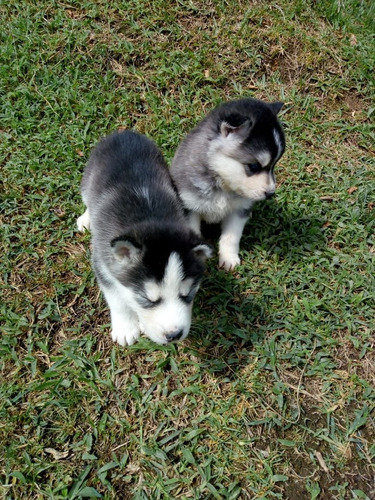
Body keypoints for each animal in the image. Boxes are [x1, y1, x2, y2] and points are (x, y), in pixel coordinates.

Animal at [76, 131, 213, 346]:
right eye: (149, 300)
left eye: (187, 294)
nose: (174, 335)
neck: (149, 217)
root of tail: (124, 132)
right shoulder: (102, 263)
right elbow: (117, 299)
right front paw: (126, 327)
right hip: (88, 177)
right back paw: (85, 219)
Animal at [170, 97, 284, 270]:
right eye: (254, 166)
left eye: (274, 165)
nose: (271, 193)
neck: (222, 184)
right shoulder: (189, 207)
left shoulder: (239, 210)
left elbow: (232, 236)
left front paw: (229, 259)